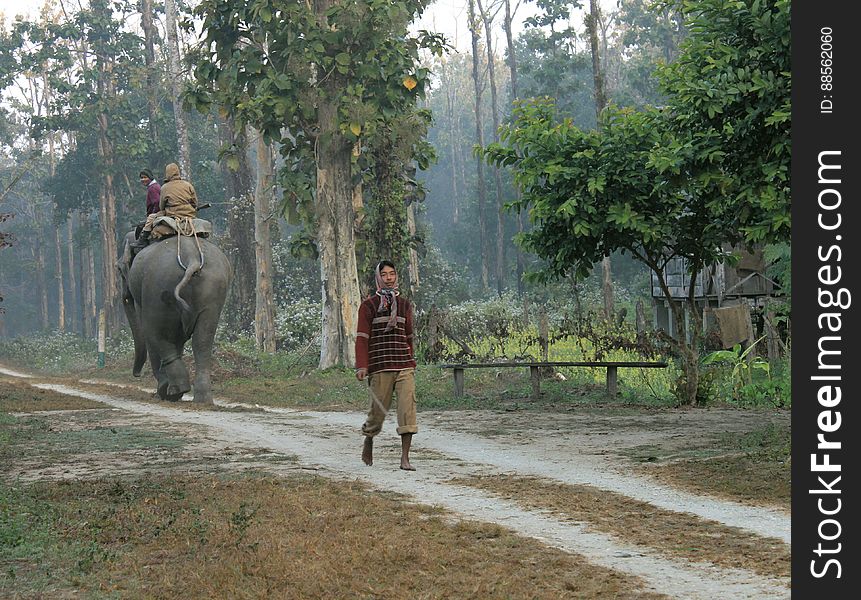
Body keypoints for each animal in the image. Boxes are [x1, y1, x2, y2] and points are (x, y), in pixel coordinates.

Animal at [118, 230, 232, 404]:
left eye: (119, 269)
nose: (136, 374)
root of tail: (192, 259)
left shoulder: (142, 294)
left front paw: (163, 392)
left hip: (158, 288)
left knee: (156, 333)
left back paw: (171, 391)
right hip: (214, 288)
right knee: (203, 340)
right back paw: (201, 399)